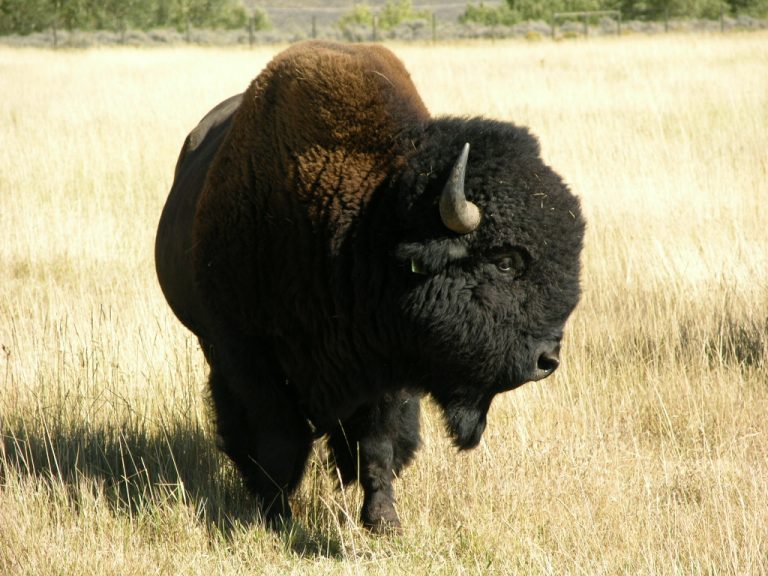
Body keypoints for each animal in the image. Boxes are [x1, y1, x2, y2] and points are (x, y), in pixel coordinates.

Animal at [155, 41, 585, 531]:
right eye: (506, 261)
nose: (546, 360)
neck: (365, 224)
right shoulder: (243, 352)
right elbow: (277, 439)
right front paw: (276, 517)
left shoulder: (390, 363)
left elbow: (377, 444)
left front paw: (383, 520)